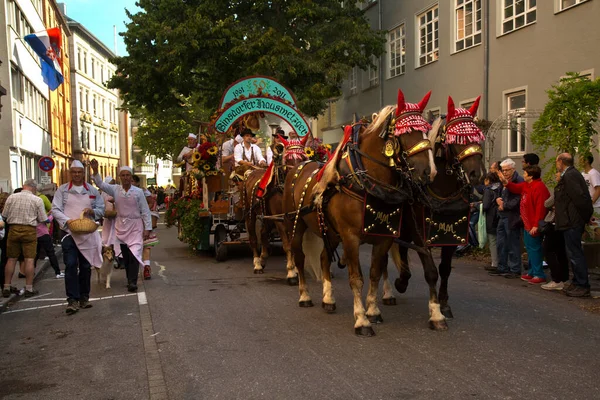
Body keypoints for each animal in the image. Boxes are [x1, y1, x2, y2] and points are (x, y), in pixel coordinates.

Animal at [241, 136, 310, 282]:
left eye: (303, 158)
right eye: (287, 159)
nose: (297, 175)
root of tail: (250, 171)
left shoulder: (292, 218)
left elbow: (293, 244)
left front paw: (295, 269)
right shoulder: (279, 220)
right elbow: (287, 245)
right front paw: (291, 272)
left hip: (267, 216)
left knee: (263, 233)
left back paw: (263, 259)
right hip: (250, 213)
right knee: (253, 237)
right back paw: (257, 264)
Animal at [282, 89, 436, 336]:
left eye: (425, 130)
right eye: (406, 132)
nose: (428, 172)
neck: (366, 180)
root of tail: (298, 166)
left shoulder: (383, 238)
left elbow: (375, 273)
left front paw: (373, 311)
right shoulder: (351, 238)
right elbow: (356, 279)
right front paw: (361, 320)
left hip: (331, 233)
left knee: (324, 258)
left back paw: (328, 299)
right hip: (296, 226)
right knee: (298, 255)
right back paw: (305, 295)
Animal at [390, 96, 488, 328]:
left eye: (477, 137)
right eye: (457, 139)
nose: (477, 174)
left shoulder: (451, 234)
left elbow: (445, 269)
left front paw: (444, 304)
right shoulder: (421, 233)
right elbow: (431, 271)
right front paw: (435, 313)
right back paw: (396, 285)